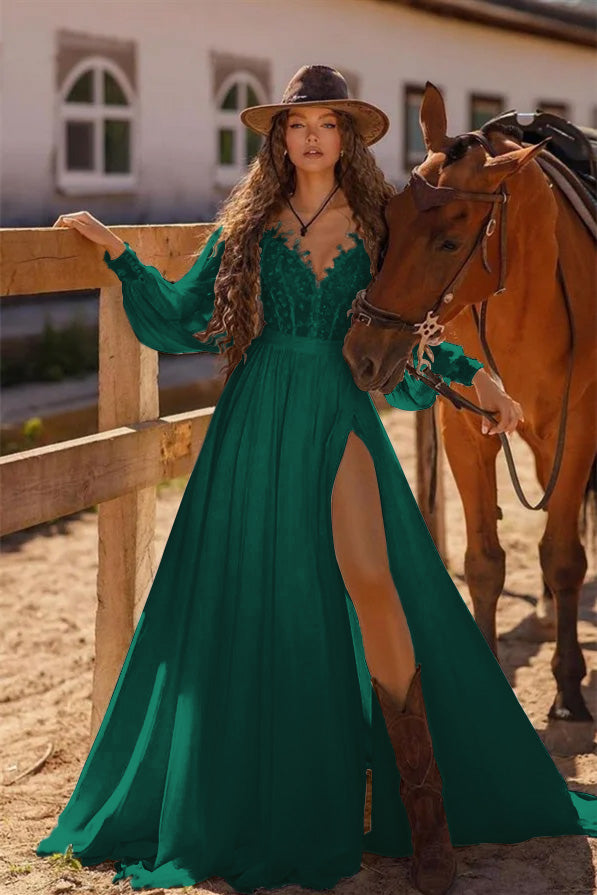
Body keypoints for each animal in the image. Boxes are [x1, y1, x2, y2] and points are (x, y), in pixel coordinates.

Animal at [340, 84, 596, 756]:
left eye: (449, 243)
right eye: (389, 221)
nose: (361, 354)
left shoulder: (578, 435)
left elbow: (564, 557)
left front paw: (569, 691)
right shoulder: (466, 434)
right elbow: (485, 564)